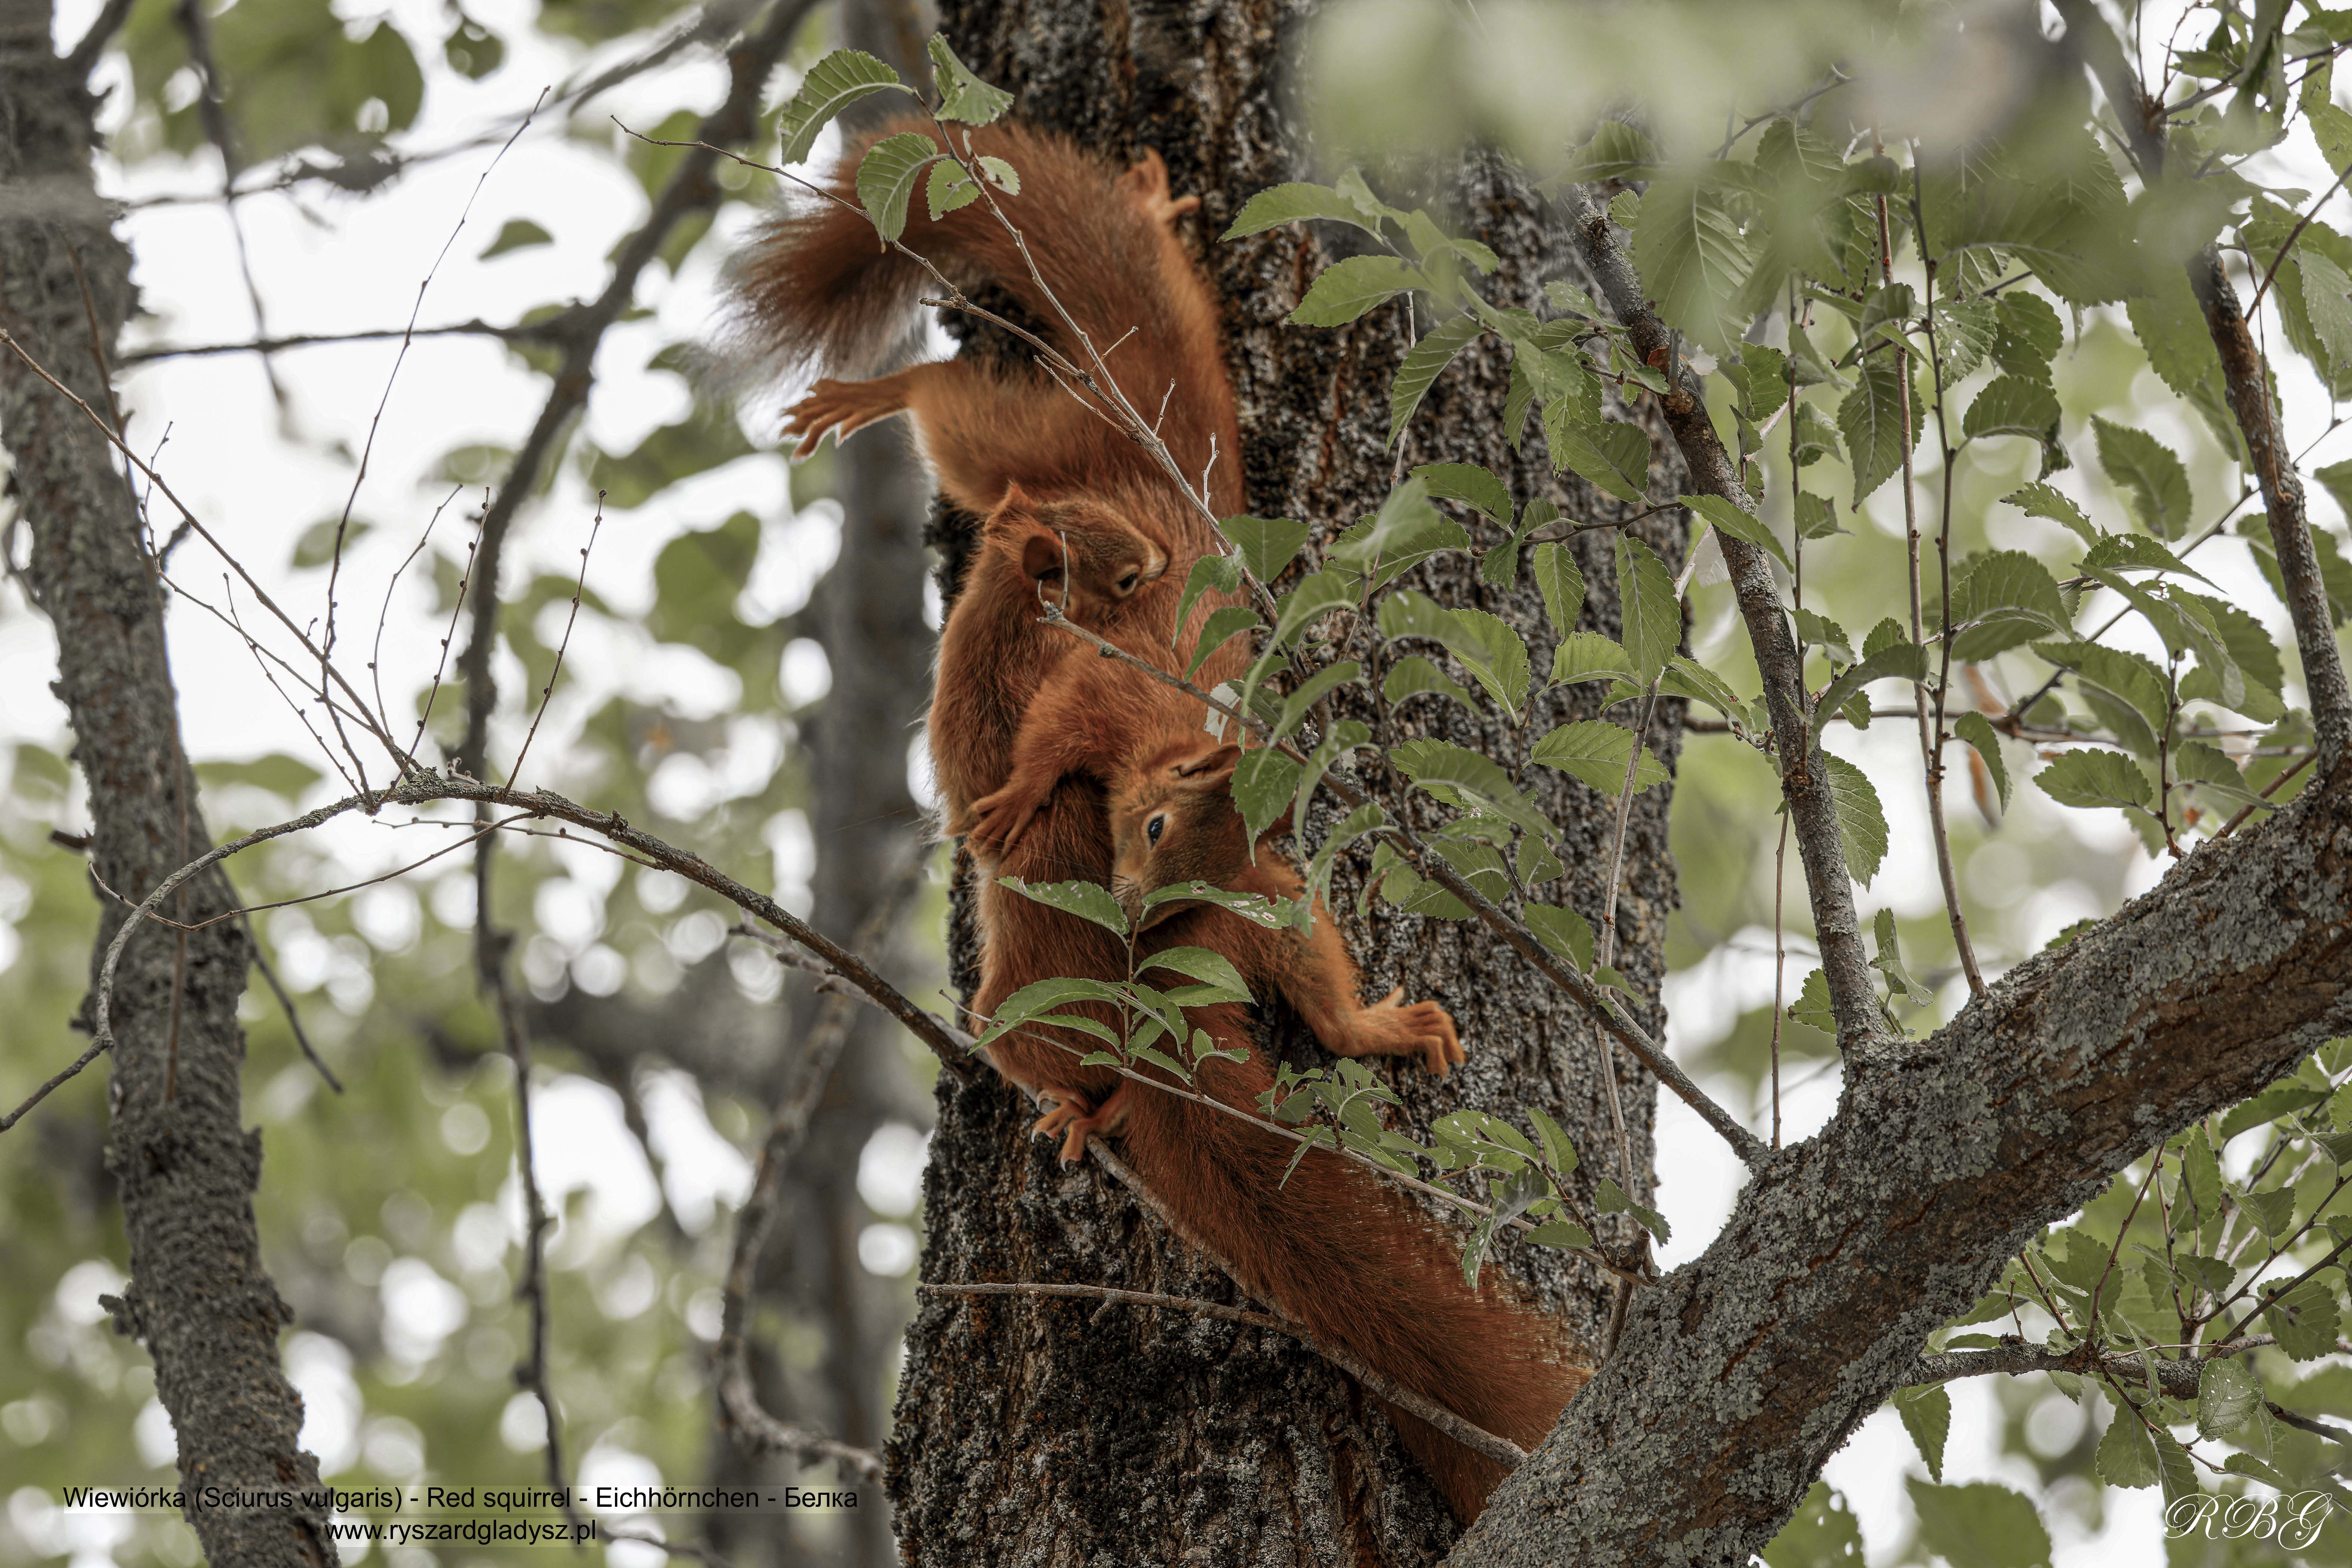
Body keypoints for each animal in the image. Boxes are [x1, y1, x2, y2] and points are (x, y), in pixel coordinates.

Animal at [733, 119, 1580, 1524]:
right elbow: (1062, 727)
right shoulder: (1115, 705)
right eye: (1150, 830)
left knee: (956, 418)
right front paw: (1021, 782)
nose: (1142, 904)